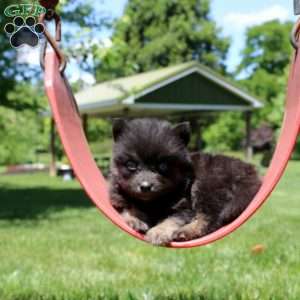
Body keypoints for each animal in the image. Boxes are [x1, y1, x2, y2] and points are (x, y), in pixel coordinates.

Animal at [109, 118, 262, 245]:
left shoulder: (184, 206)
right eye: (131, 165)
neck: (152, 201)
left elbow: (172, 219)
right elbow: (127, 205)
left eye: (163, 166)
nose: (145, 186)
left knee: (210, 219)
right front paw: (135, 219)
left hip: (206, 187)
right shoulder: (118, 194)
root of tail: (249, 172)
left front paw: (158, 232)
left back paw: (185, 231)